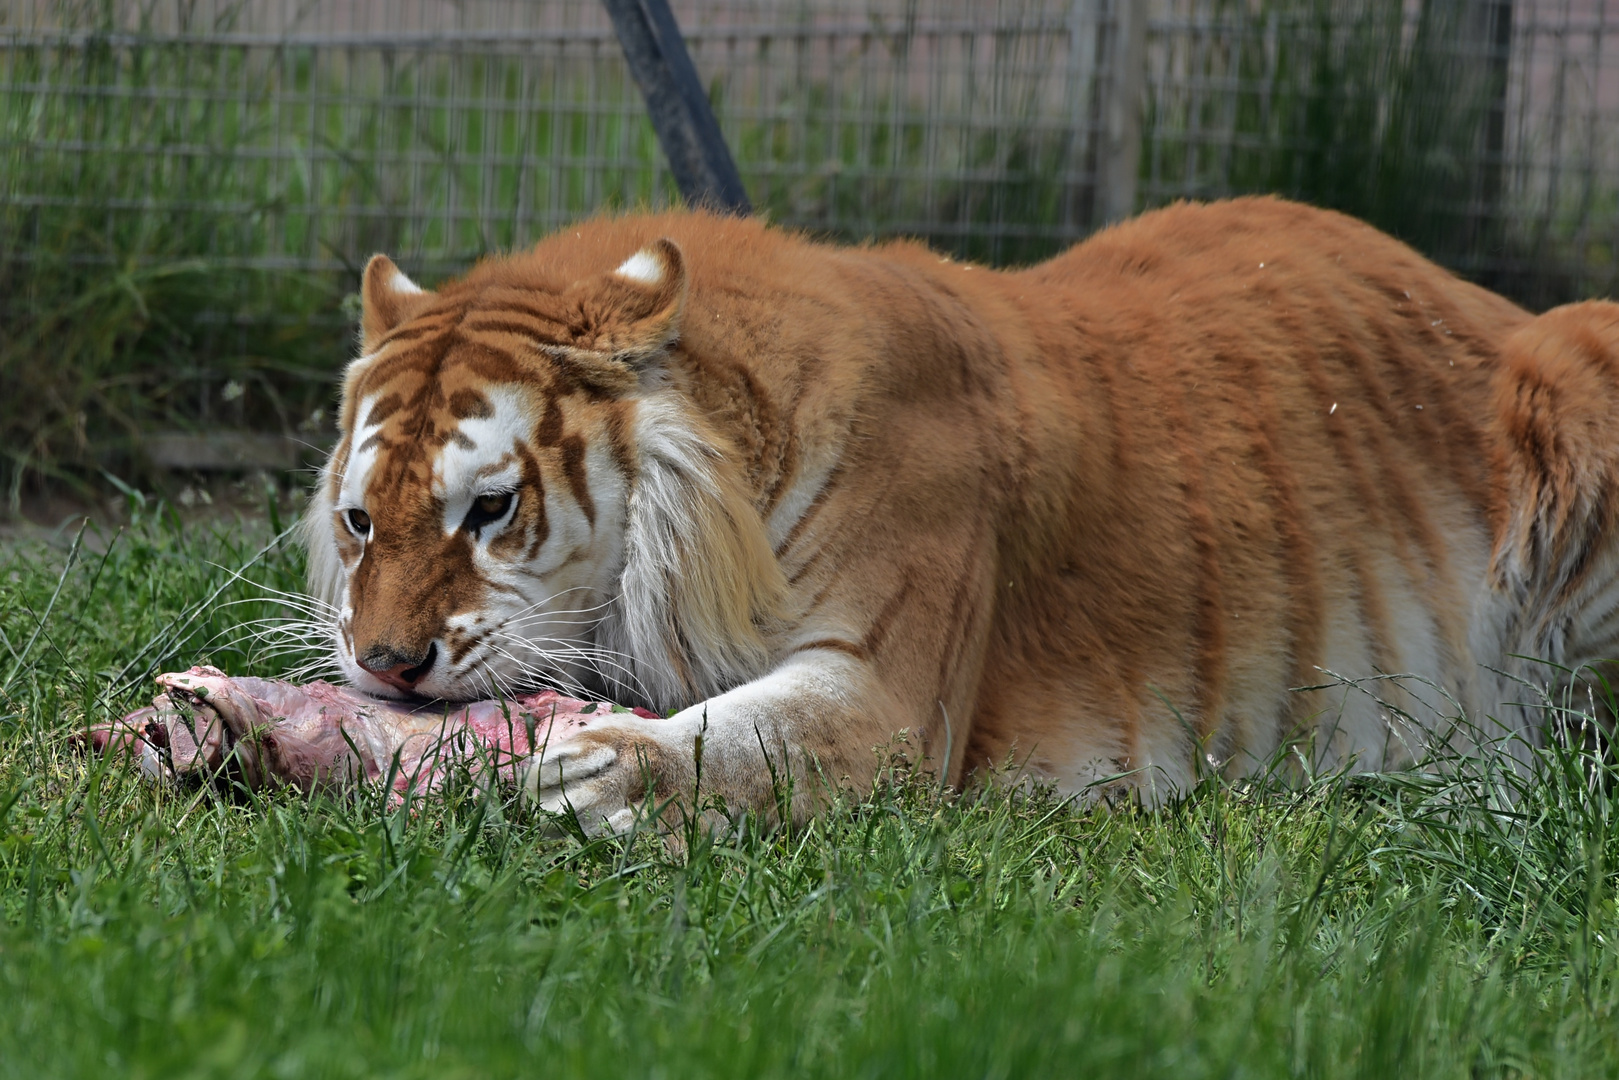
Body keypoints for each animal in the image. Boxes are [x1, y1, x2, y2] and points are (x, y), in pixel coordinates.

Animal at [304, 198, 1619, 835]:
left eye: (490, 509)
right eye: (361, 521)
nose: (385, 665)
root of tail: (1488, 301)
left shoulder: (888, 695)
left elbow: (745, 739)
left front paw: (588, 782)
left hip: (1574, 368)